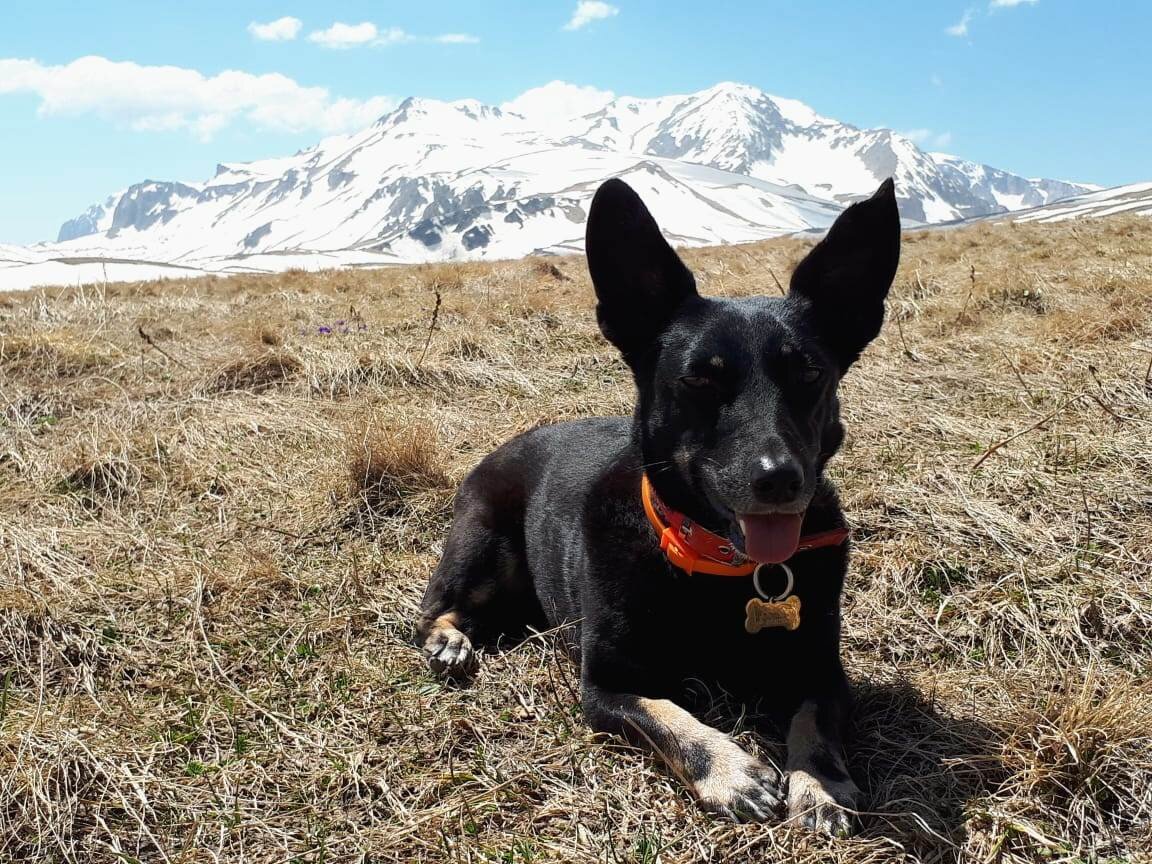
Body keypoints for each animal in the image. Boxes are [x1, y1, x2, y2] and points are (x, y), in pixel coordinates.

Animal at [419, 177, 903, 838]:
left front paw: (820, 782)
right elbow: (668, 715)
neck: (719, 565)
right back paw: (449, 641)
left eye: (808, 373)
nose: (780, 479)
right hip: (482, 543)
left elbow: (814, 722)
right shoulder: (606, 686)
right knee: (434, 608)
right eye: (700, 380)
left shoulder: (823, 671)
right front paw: (730, 769)